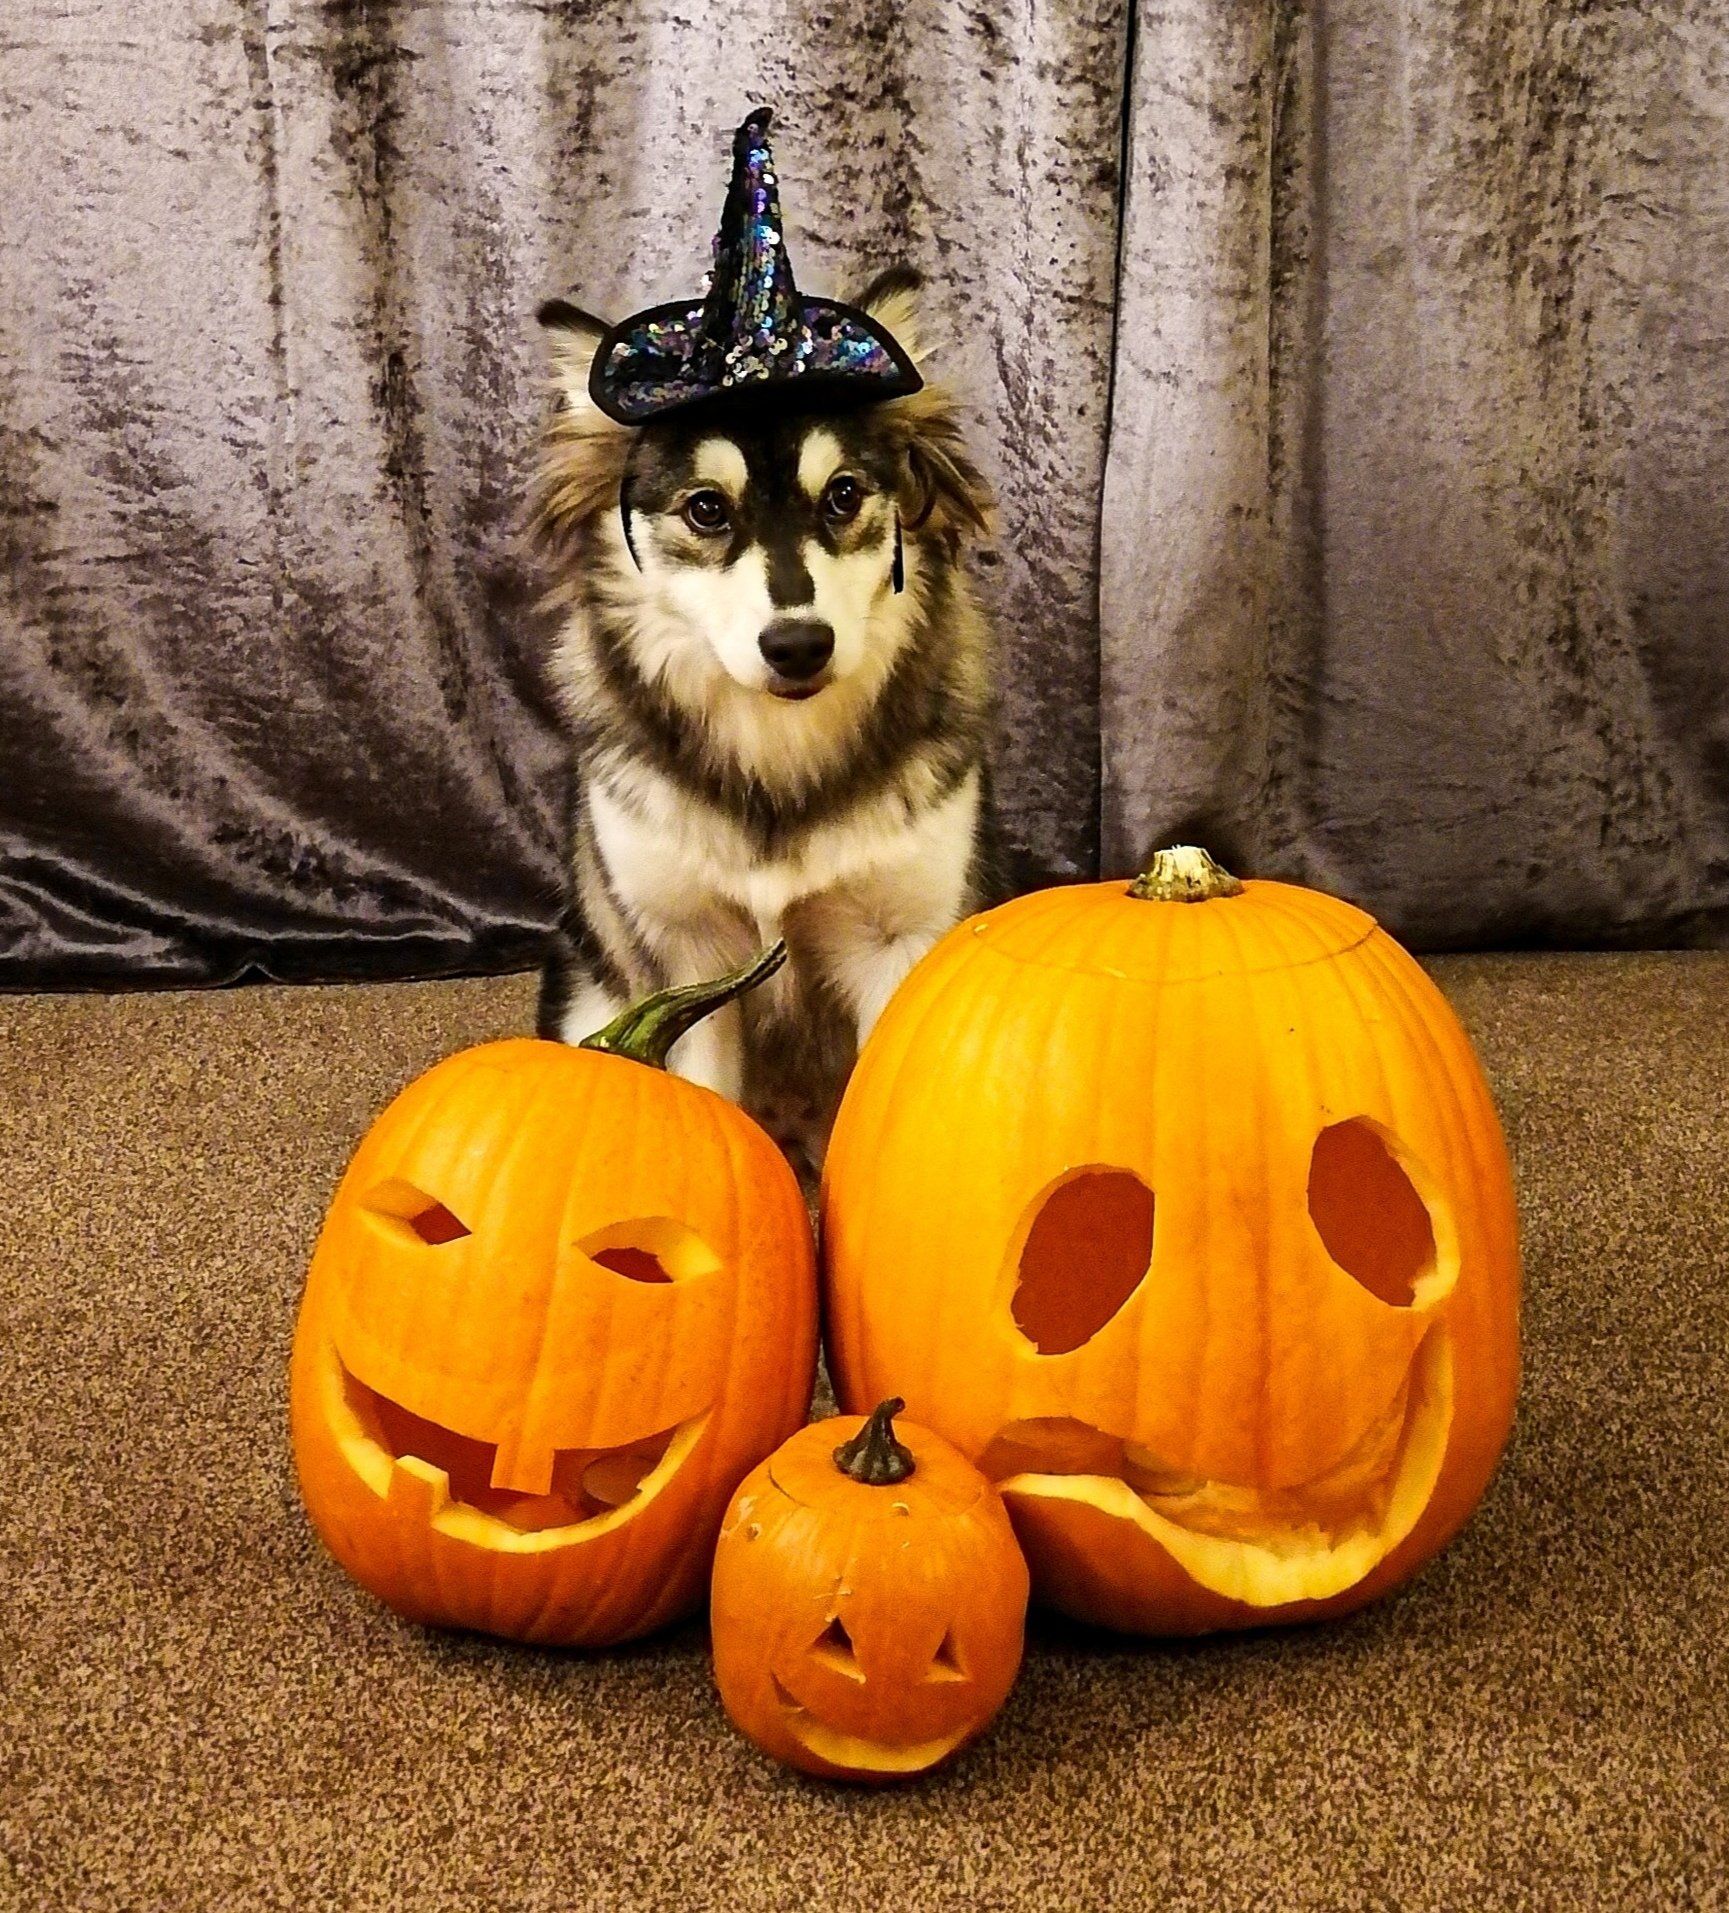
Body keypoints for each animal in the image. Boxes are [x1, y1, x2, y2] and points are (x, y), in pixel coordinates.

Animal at [526, 267, 1001, 1146]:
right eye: (706, 508)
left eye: (842, 495)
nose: (798, 644)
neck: (781, 752)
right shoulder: (688, 954)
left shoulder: (899, 938)